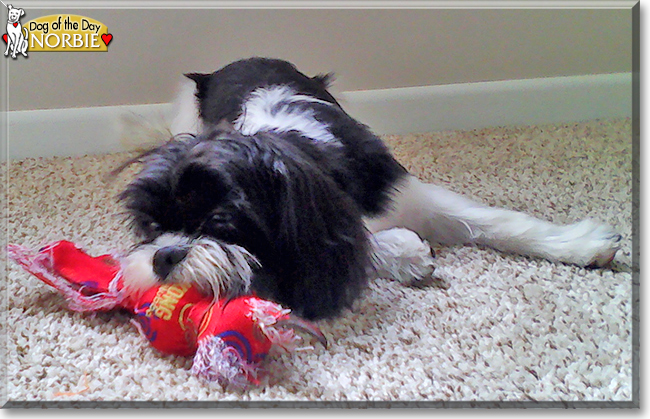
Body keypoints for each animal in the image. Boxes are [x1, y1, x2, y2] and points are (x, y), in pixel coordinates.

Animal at [115, 57, 616, 322]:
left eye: (219, 221)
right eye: (152, 228)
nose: (162, 256)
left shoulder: (404, 192)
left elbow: (495, 221)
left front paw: (582, 243)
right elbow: (361, 243)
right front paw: (406, 254)